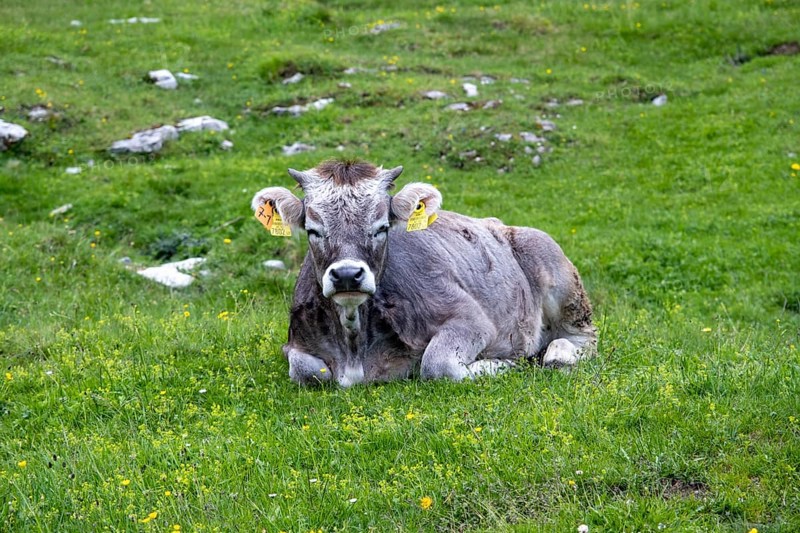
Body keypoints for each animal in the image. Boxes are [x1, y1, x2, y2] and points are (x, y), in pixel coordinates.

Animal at [251, 160, 596, 387]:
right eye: (313, 229)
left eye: (382, 227)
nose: (348, 275)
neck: (354, 349)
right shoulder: (294, 343)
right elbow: (307, 370)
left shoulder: (471, 318)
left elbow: (437, 364)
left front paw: (503, 363)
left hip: (560, 278)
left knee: (583, 337)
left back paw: (558, 354)